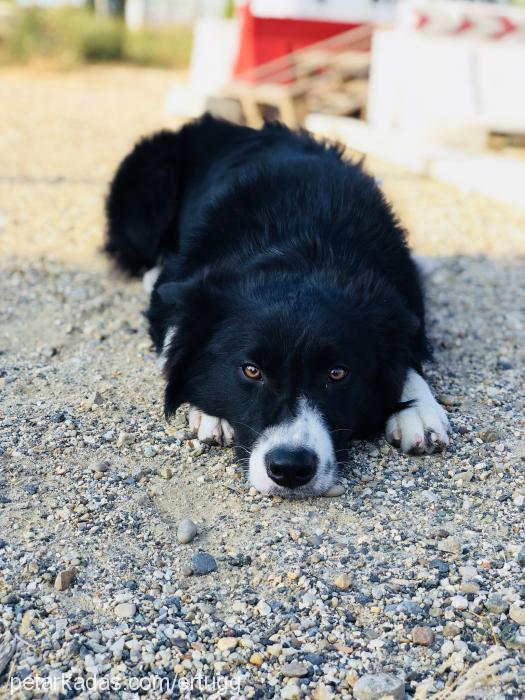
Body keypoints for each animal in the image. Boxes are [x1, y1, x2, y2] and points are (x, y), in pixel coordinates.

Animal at [104, 115, 448, 498]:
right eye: (251, 371)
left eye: (337, 373)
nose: (291, 469)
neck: (303, 250)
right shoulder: (180, 290)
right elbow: (178, 335)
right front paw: (208, 410)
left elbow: (408, 354)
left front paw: (418, 409)